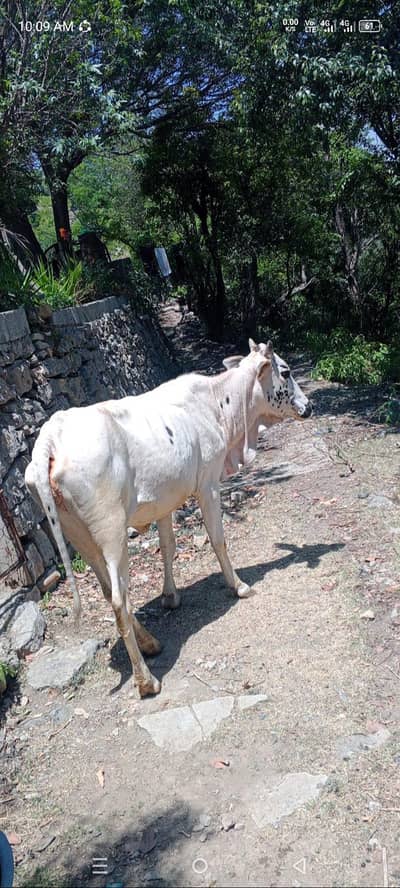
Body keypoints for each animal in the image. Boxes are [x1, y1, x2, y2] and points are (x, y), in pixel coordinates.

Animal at [25, 339, 311, 697]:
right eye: (285, 371)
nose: (308, 406)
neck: (219, 406)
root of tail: (52, 434)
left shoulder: (164, 501)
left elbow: (169, 546)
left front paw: (170, 596)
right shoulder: (208, 484)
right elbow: (218, 539)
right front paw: (239, 586)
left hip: (77, 535)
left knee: (108, 590)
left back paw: (150, 643)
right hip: (111, 532)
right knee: (118, 598)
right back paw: (146, 680)